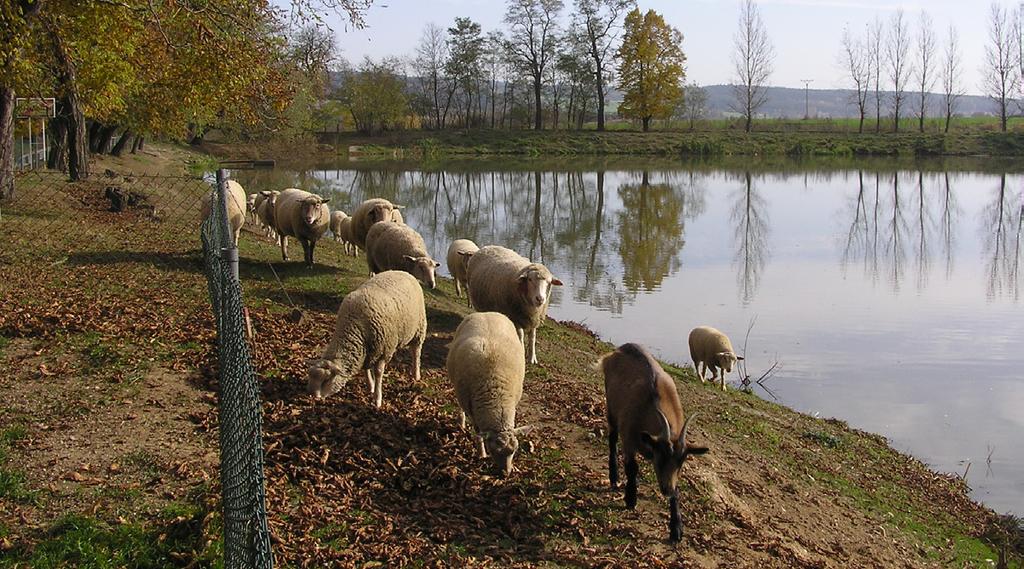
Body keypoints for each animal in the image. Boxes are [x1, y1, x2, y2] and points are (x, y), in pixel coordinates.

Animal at [307, 270, 428, 409]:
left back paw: (416, 375)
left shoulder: (383, 350)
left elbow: (379, 373)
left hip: (419, 328)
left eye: (326, 380)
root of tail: (404, 272)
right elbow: (366, 369)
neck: (353, 326)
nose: (312, 397)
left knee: (416, 352)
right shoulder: (367, 350)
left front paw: (377, 399)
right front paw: (370, 386)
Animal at [446, 311, 532, 474]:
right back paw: (461, 421)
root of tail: (486, 313)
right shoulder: (472, 409)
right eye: (494, 450)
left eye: (514, 450)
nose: (506, 474)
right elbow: (478, 434)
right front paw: (482, 454)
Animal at [598, 341, 712, 540]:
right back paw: (614, 477)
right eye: (661, 458)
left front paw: (676, 528)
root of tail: (620, 349)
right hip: (611, 409)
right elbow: (632, 467)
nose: (666, 489)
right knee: (612, 440)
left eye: (681, 462)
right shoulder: (629, 438)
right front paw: (630, 499)